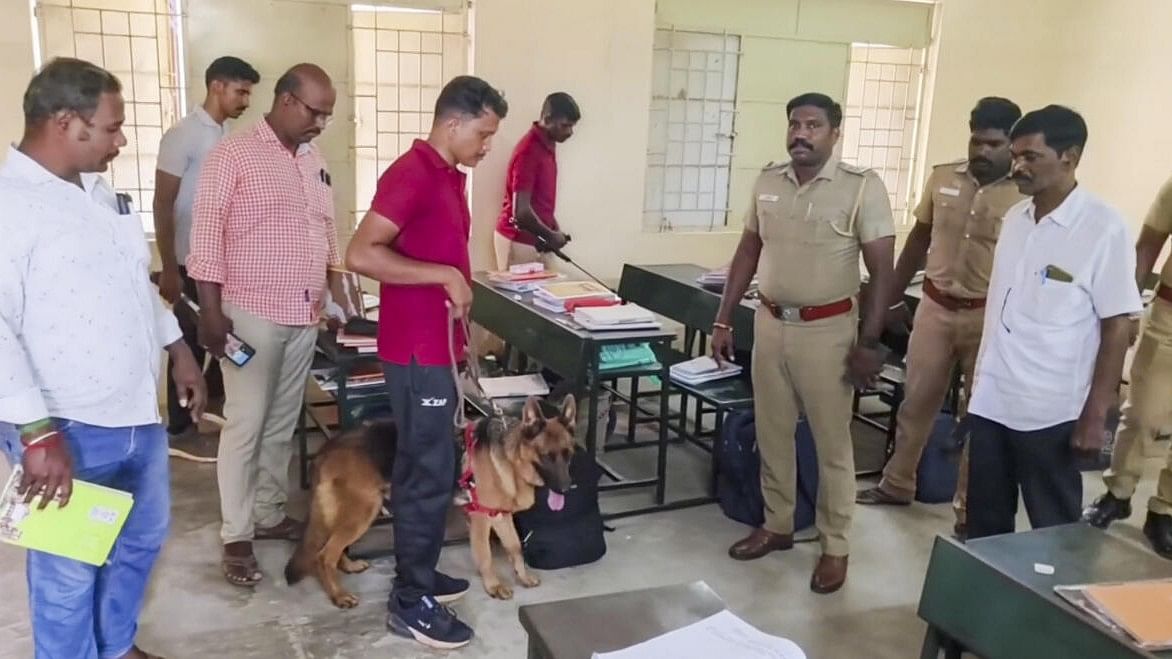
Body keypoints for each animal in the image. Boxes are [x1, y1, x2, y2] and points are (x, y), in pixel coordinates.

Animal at [283, 393, 576, 605]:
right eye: (547, 456)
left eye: (568, 454)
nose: (567, 488)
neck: (510, 454)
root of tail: (328, 447)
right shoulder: (482, 518)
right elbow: (485, 555)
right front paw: (493, 586)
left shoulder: (499, 514)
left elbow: (515, 548)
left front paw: (523, 577)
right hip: (363, 512)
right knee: (324, 555)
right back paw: (338, 595)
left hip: (350, 513)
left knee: (333, 547)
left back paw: (348, 565)